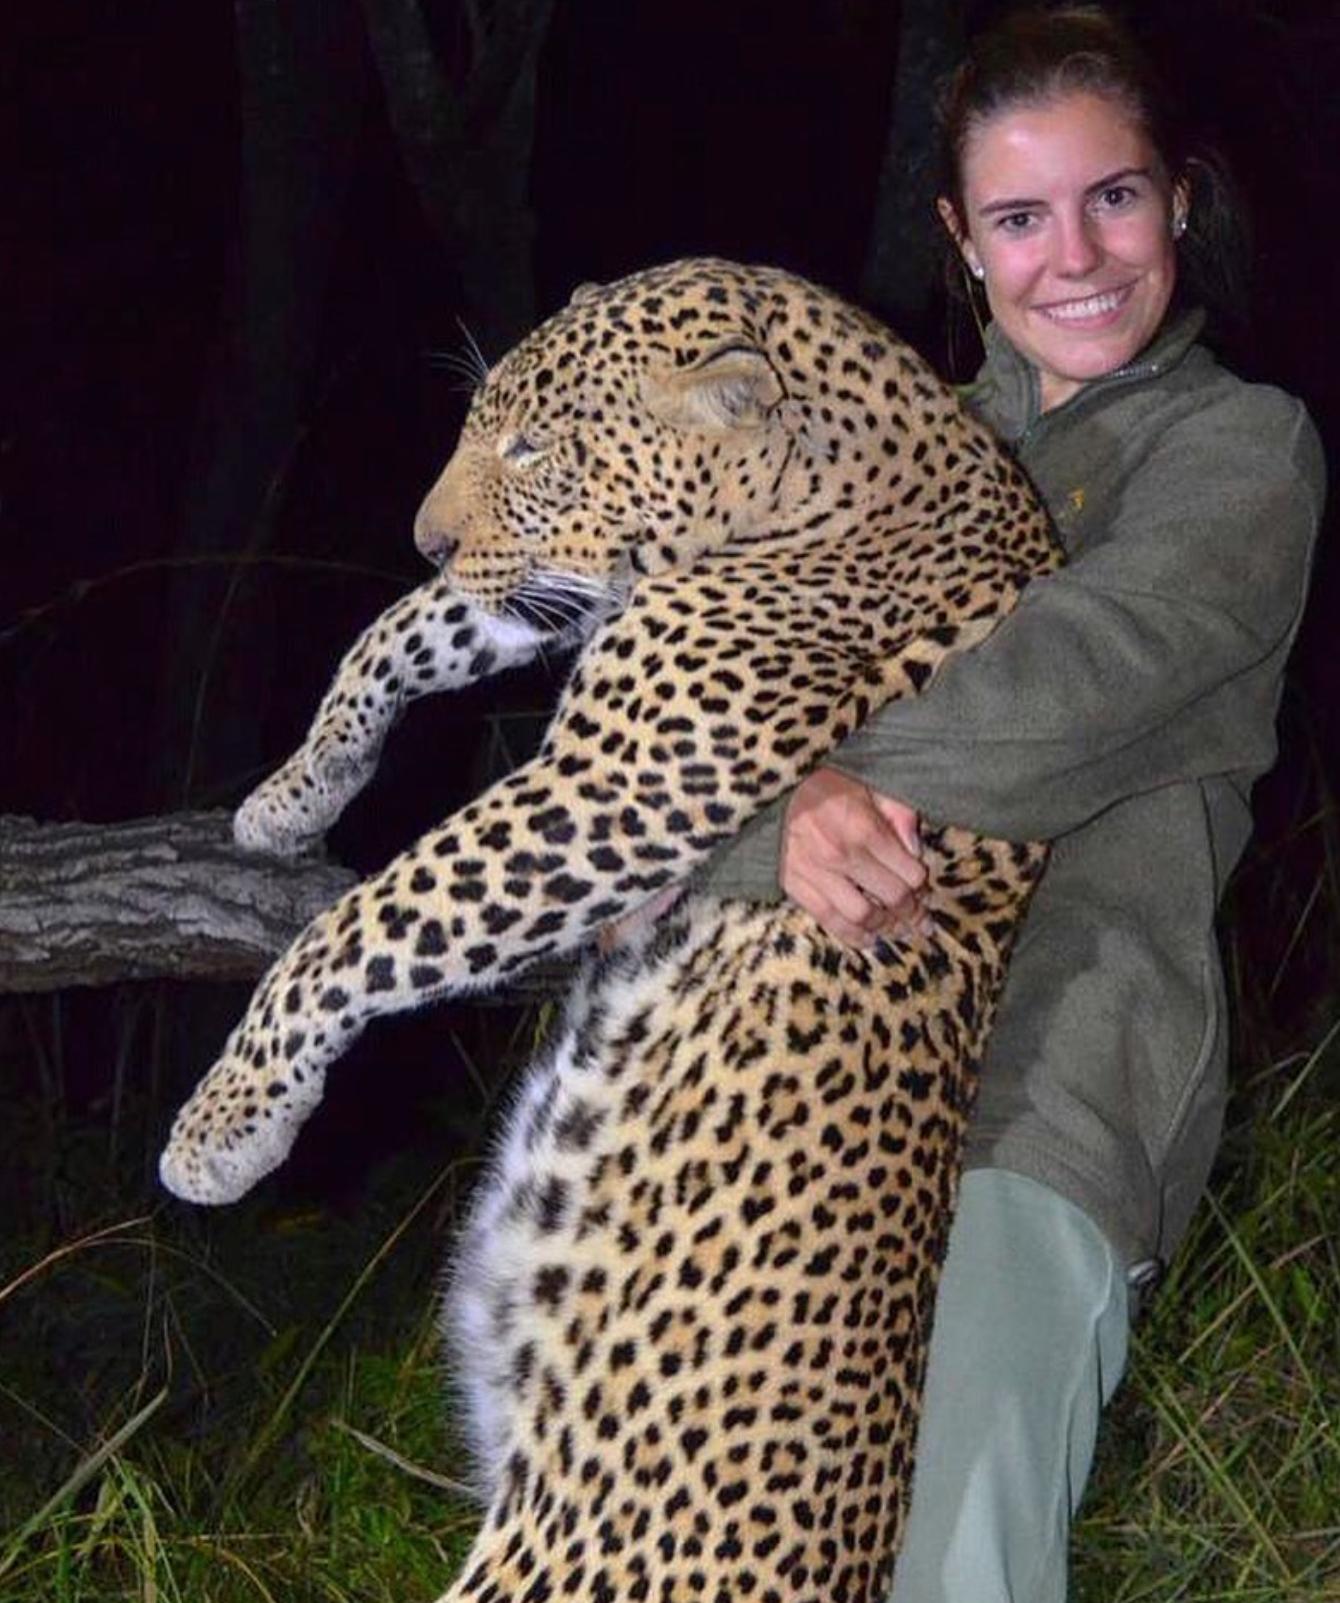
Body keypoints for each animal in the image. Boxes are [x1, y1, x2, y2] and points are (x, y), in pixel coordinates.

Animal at [159, 258, 1060, 1602]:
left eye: (536, 447)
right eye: (482, 425)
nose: (422, 536)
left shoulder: (617, 789)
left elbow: (372, 918)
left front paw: (227, 1126)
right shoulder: (569, 609)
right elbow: (408, 630)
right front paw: (297, 790)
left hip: (546, 1565)